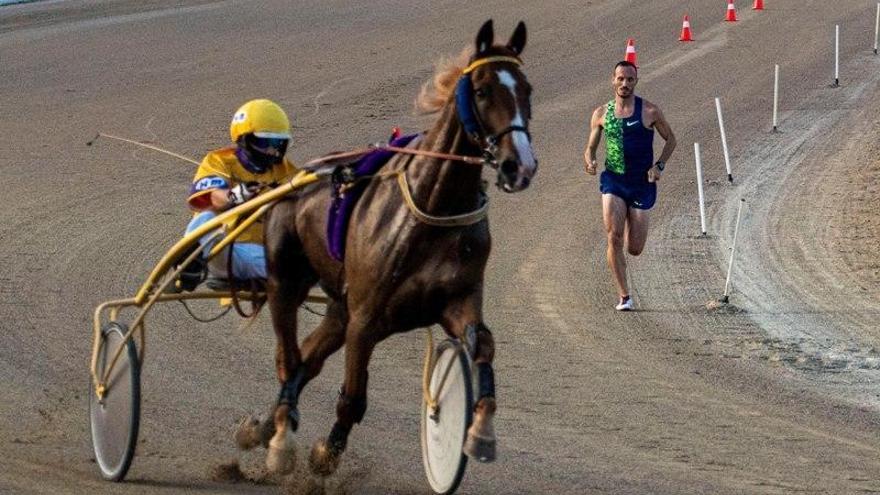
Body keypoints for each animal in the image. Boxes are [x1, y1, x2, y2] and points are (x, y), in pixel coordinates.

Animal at [246, 20, 536, 480]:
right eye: (483, 89)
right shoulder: (366, 319)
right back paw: (278, 436)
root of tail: (296, 177)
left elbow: (484, 347)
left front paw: (480, 434)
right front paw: (326, 454)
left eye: (527, 89)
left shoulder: (458, 301)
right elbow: (352, 398)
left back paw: (267, 425)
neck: (435, 205)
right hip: (285, 284)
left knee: (307, 358)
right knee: (289, 358)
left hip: (339, 305)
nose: (518, 166)